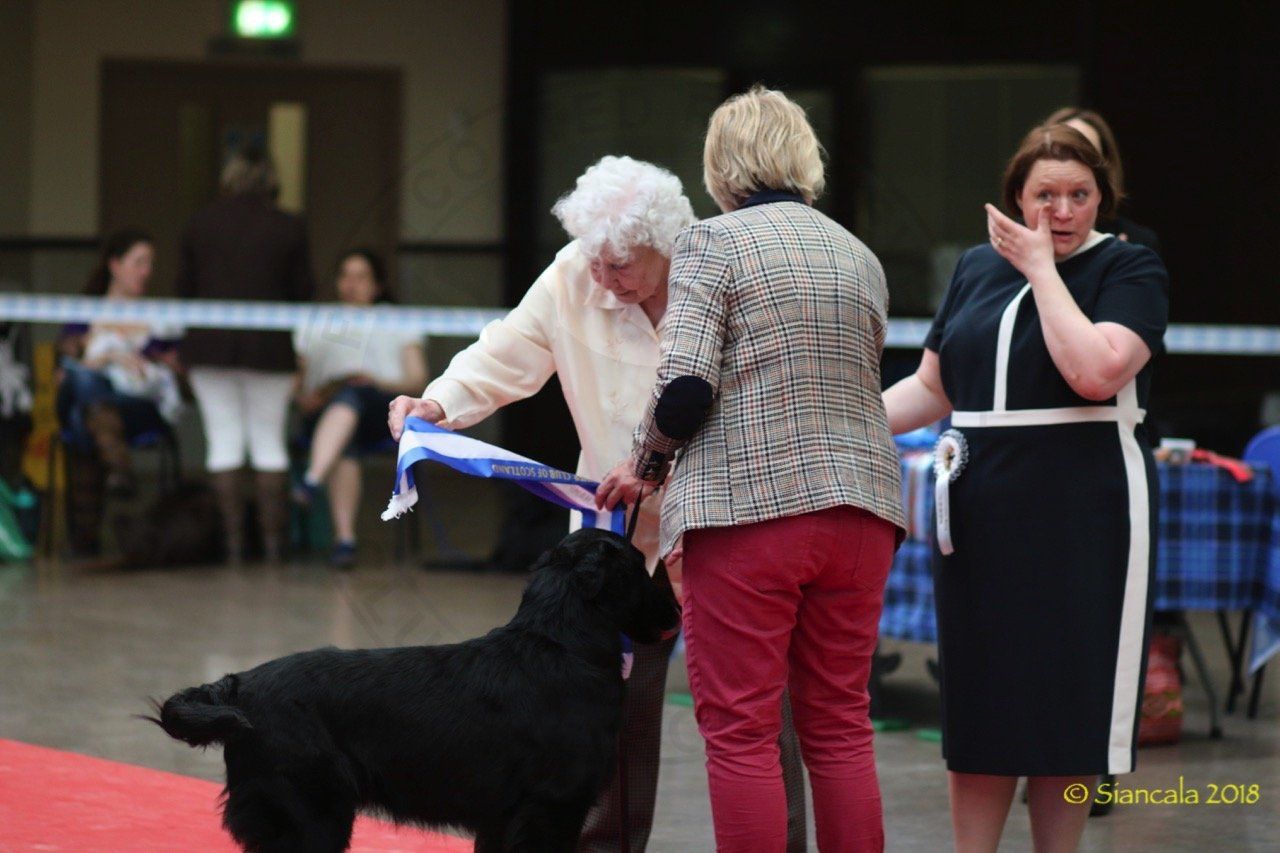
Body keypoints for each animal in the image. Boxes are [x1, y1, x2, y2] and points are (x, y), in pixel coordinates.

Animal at [148, 528, 681, 852]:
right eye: (641, 566)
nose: (676, 611)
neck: (559, 643)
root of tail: (237, 686)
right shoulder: (553, 808)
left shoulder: (502, 817)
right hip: (309, 816)